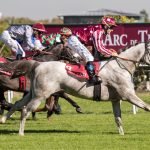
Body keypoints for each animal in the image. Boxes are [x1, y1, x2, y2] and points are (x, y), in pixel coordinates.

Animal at [0, 41, 149, 136]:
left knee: (17, 104)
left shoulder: (116, 99)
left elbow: (118, 119)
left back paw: (3, 119)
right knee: (25, 110)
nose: (77, 58)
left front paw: (122, 134)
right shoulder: (128, 95)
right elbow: (147, 107)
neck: (120, 66)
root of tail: (38, 64)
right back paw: (20, 133)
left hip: (32, 93)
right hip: (40, 95)